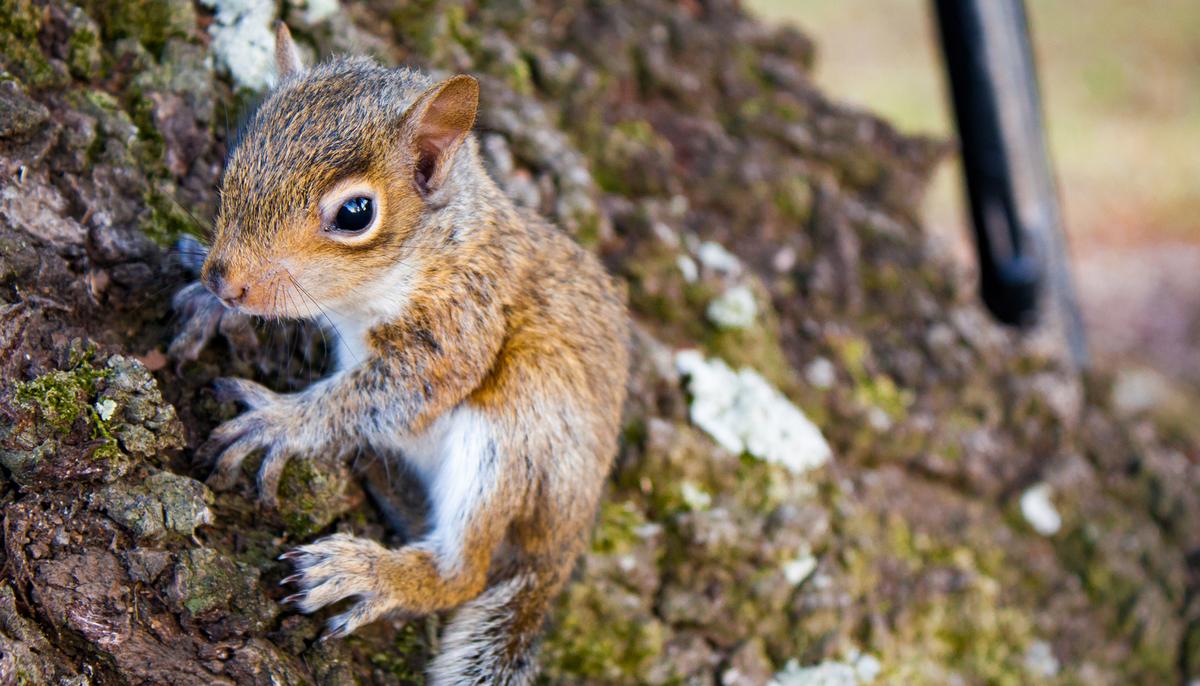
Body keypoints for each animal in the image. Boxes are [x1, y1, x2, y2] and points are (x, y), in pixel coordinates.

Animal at [171, 24, 629, 685]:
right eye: (241, 151)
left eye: (355, 213)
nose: (223, 280)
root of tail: (564, 541)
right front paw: (211, 304)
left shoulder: (460, 325)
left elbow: (388, 392)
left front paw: (281, 420)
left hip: (514, 436)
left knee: (463, 574)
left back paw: (368, 574)